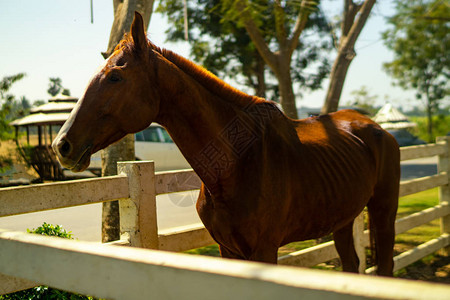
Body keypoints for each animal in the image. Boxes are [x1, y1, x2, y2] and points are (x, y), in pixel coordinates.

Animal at [51, 12, 400, 276]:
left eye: (115, 77)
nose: (62, 146)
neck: (239, 163)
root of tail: (375, 128)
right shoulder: (227, 249)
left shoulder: (264, 250)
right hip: (344, 218)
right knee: (352, 264)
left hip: (384, 211)